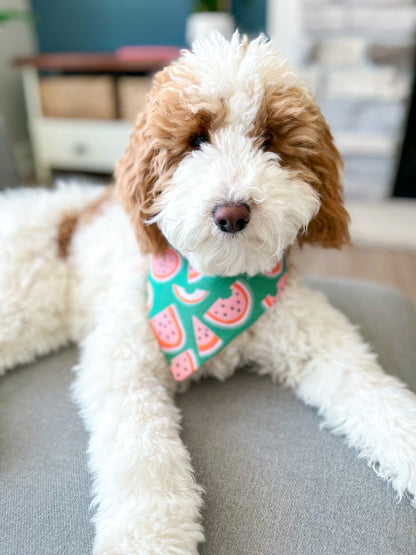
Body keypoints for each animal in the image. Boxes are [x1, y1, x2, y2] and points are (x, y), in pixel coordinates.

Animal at [0, 33, 416, 555]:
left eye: (269, 140)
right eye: (196, 139)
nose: (231, 212)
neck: (218, 280)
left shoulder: (318, 341)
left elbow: (374, 393)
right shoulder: (124, 366)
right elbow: (143, 453)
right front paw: (149, 538)